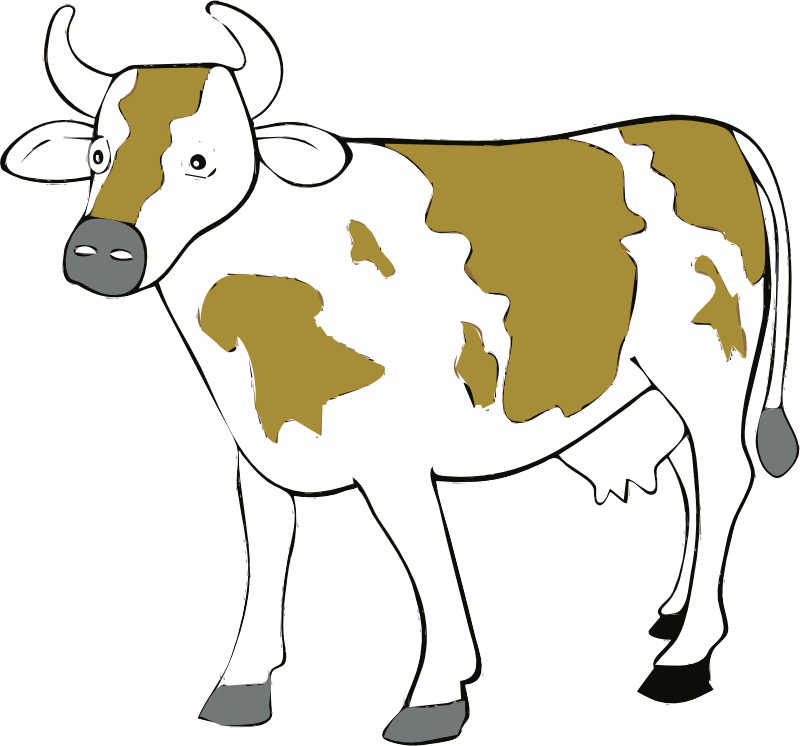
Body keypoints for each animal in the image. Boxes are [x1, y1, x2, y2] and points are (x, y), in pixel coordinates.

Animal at [2, 2, 797, 743]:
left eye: (202, 159)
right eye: (98, 154)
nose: (101, 249)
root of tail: (714, 132)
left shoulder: (394, 456)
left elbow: (425, 558)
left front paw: (437, 694)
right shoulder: (257, 450)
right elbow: (267, 551)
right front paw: (242, 683)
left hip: (706, 362)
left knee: (726, 474)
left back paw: (687, 657)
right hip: (660, 382)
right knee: (694, 478)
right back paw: (674, 612)